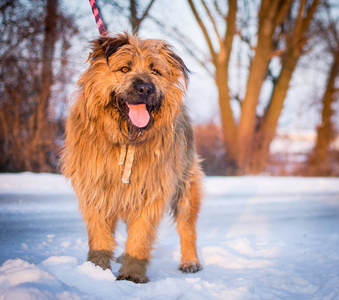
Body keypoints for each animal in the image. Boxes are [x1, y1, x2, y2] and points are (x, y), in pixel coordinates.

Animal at [60, 32, 203, 284]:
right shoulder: (96, 190)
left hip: (186, 186)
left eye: (155, 71)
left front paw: (131, 275)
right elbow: (99, 236)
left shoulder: (149, 192)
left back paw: (190, 261)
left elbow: (140, 238)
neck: (126, 138)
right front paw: (96, 272)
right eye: (124, 68)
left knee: (187, 227)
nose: (145, 89)